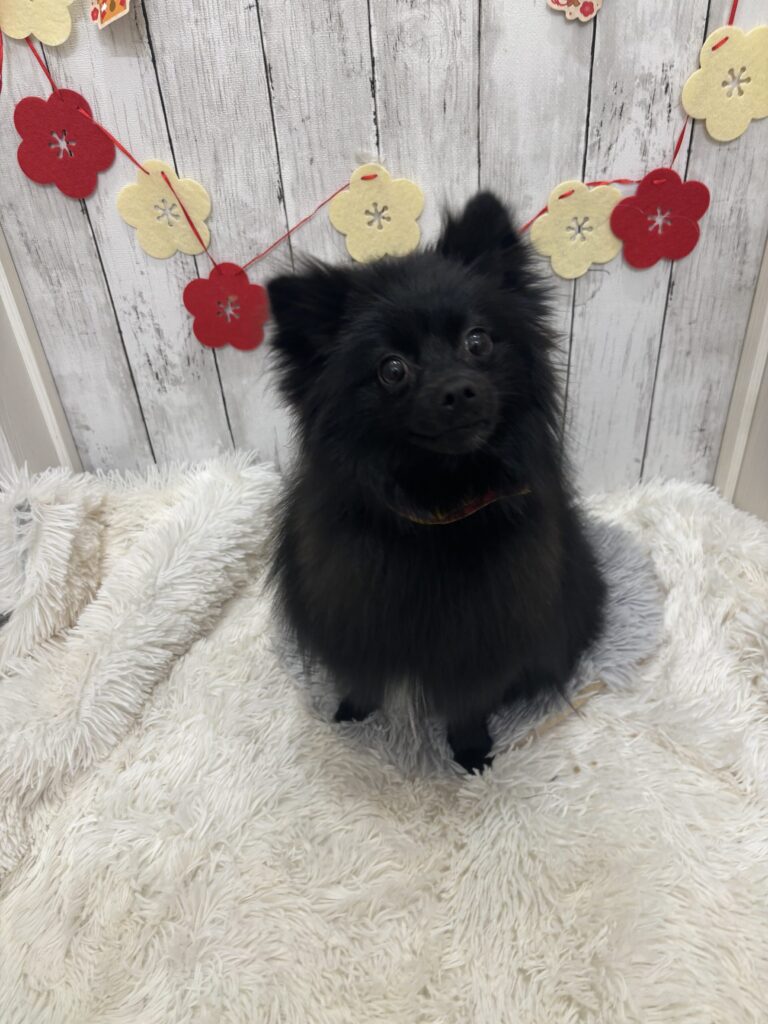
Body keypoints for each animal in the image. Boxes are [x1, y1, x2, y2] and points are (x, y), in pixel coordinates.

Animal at [267, 192, 605, 773]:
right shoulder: (352, 608)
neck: (437, 505)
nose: (458, 390)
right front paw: (354, 711)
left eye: (478, 341)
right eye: (392, 369)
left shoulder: (486, 632)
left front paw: (471, 751)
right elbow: (363, 671)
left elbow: (469, 700)